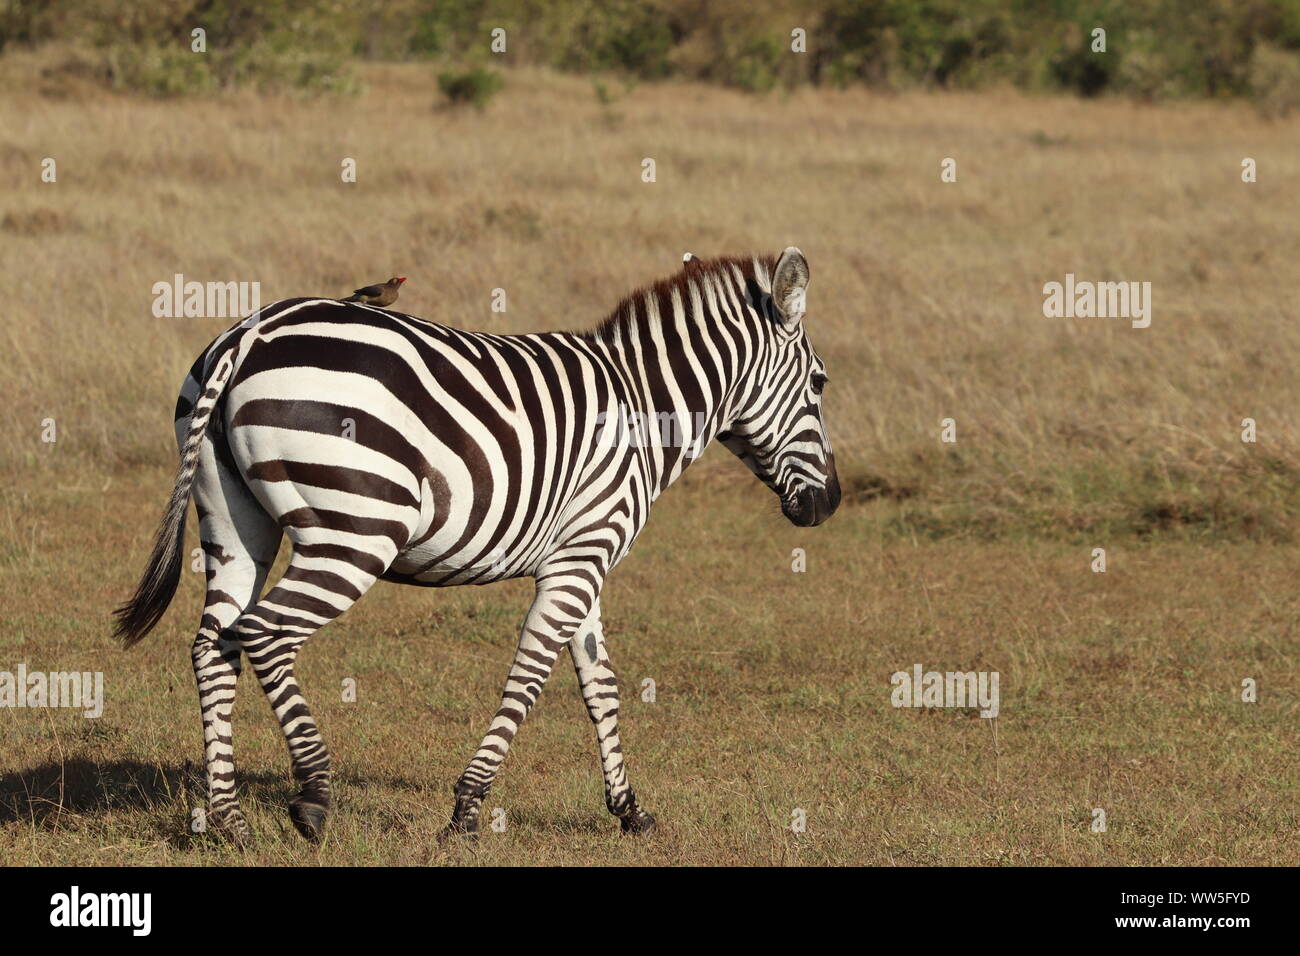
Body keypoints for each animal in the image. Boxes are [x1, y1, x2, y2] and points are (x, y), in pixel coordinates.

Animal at [114, 246, 840, 842]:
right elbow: (530, 676)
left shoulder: (582, 557)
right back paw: (314, 797)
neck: (641, 408)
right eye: (821, 383)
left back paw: (228, 821)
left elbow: (600, 684)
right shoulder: (582, 558)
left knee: (214, 645)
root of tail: (250, 334)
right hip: (356, 532)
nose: (829, 503)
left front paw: (630, 810)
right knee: (264, 634)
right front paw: (466, 809)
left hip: (235, 524)